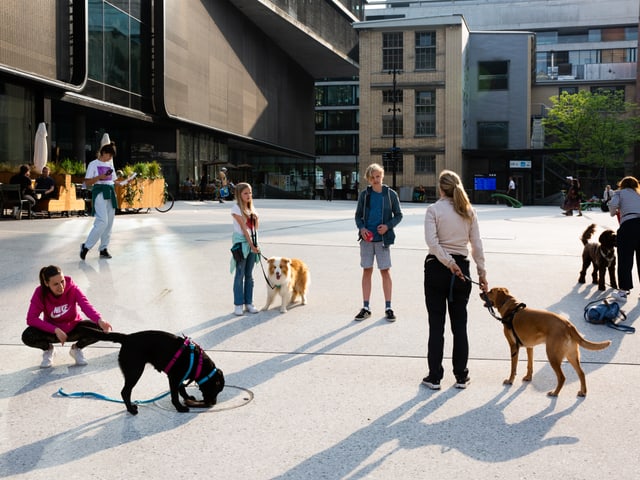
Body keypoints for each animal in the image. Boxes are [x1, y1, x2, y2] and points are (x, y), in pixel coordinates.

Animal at [84, 328, 225, 414]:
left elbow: (182, 389)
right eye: (215, 390)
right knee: (125, 392)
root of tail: (127, 338)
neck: (198, 363)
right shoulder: (174, 378)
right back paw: (131, 410)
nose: (213, 403)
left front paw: (187, 397)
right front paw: (179, 408)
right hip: (135, 371)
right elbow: (174, 395)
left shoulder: (178, 378)